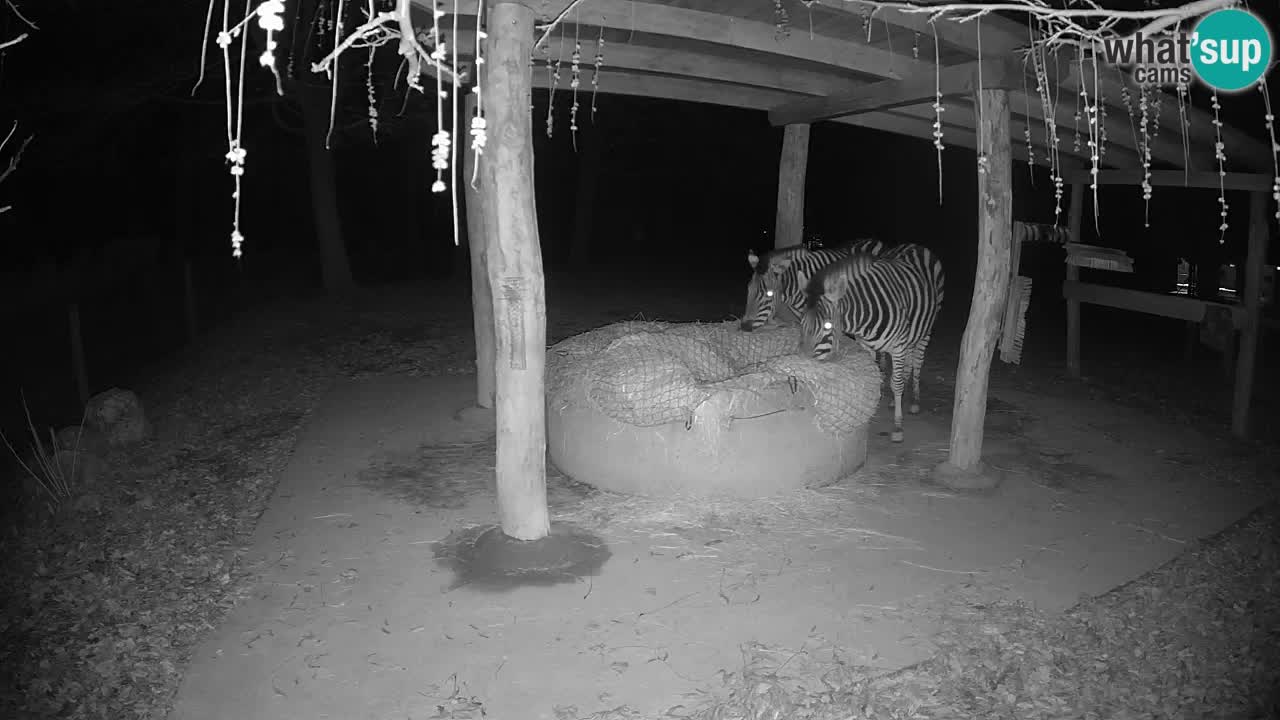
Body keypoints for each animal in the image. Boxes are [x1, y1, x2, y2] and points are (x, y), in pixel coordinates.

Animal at [798, 243, 942, 440]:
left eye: (827, 326)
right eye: (802, 323)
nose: (802, 370)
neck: (864, 316)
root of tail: (915, 246)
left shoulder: (898, 347)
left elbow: (896, 384)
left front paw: (898, 427)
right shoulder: (866, 346)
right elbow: (873, 379)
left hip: (926, 330)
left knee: (918, 362)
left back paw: (915, 401)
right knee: (909, 361)